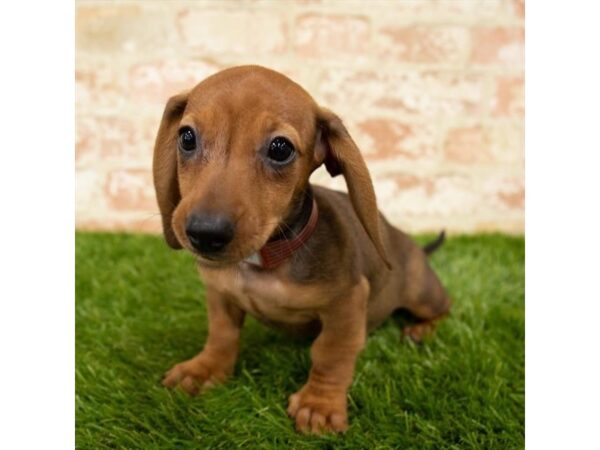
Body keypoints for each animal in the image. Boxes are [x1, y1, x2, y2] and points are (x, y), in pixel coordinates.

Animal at [154, 65, 450, 434]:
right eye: (187, 138)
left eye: (281, 148)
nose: (205, 234)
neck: (263, 262)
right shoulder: (220, 294)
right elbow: (222, 334)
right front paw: (204, 369)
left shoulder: (347, 304)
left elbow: (330, 353)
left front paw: (319, 404)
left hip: (422, 295)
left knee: (445, 308)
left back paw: (422, 330)